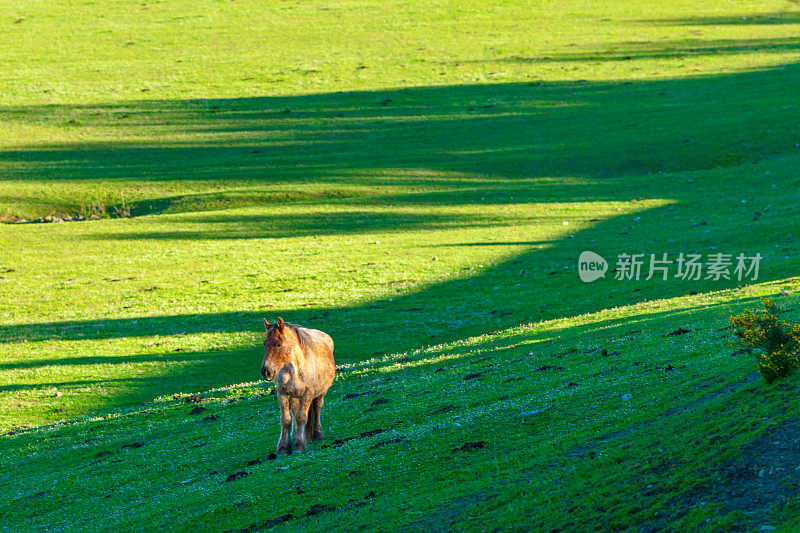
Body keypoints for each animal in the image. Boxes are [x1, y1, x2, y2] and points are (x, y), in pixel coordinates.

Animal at [262, 316, 334, 454]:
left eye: (279, 344)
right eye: (264, 344)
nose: (266, 372)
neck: (294, 370)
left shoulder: (308, 393)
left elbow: (301, 417)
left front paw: (299, 445)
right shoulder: (282, 393)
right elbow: (286, 420)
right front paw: (283, 447)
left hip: (320, 394)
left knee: (317, 409)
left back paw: (317, 435)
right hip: (295, 396)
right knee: (295, 414)